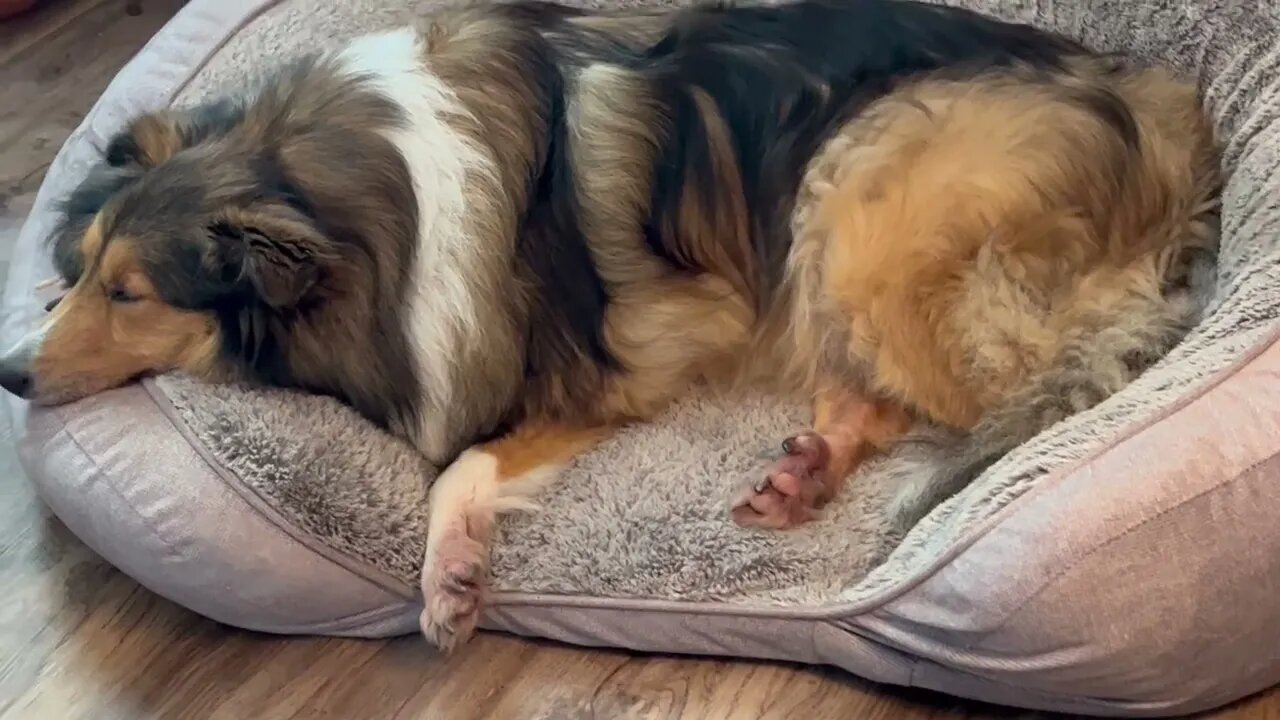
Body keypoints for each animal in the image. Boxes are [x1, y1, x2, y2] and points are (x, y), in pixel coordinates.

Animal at [0, 0, 1218, 648]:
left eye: (131, 293)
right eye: (85, 271)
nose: (10, 371)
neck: (353, 203)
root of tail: (1156, 100)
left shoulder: (631, 356)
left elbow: (465, 464)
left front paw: (448, 582)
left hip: (858, 194)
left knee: (1023, 382)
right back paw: (804, 471)